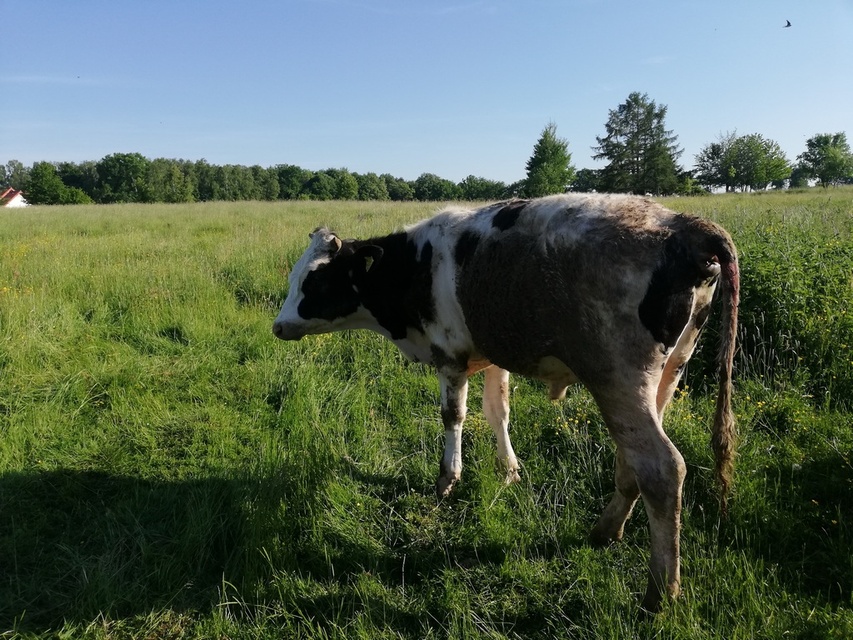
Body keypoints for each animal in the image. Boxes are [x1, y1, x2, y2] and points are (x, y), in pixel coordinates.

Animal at [270, 192, 736, 612]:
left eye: (315, 282)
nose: (278, 326)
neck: (415, 266)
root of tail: (683, 224)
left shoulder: (450, 357)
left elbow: (453, 415)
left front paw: (448, 478)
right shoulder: (492, 354)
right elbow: (498, 412)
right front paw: (508, 469)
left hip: (618, 379)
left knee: (662, 469)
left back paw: (660, 592)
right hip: (667, 374)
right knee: (633, 462)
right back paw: (606, 530)